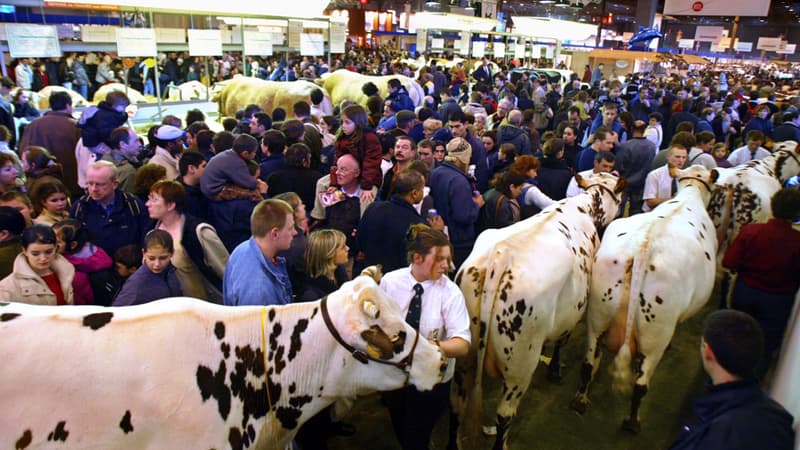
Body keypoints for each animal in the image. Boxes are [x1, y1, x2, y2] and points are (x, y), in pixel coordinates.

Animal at [450, 171, 624, 448]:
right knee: (504, 415)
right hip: (521, 363)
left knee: (457, 404)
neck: (584, 207)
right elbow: (562, 341)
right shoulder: (572, 313)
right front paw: (555, 370)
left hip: (464, 358)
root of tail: (501, 257)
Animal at [568, 164, 720, 432]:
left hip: (598, 312)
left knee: (588, 363)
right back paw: (632, 423)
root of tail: (643, 247)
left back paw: (581, 400)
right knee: (641, 384)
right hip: (655, 332)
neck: (690, 194)